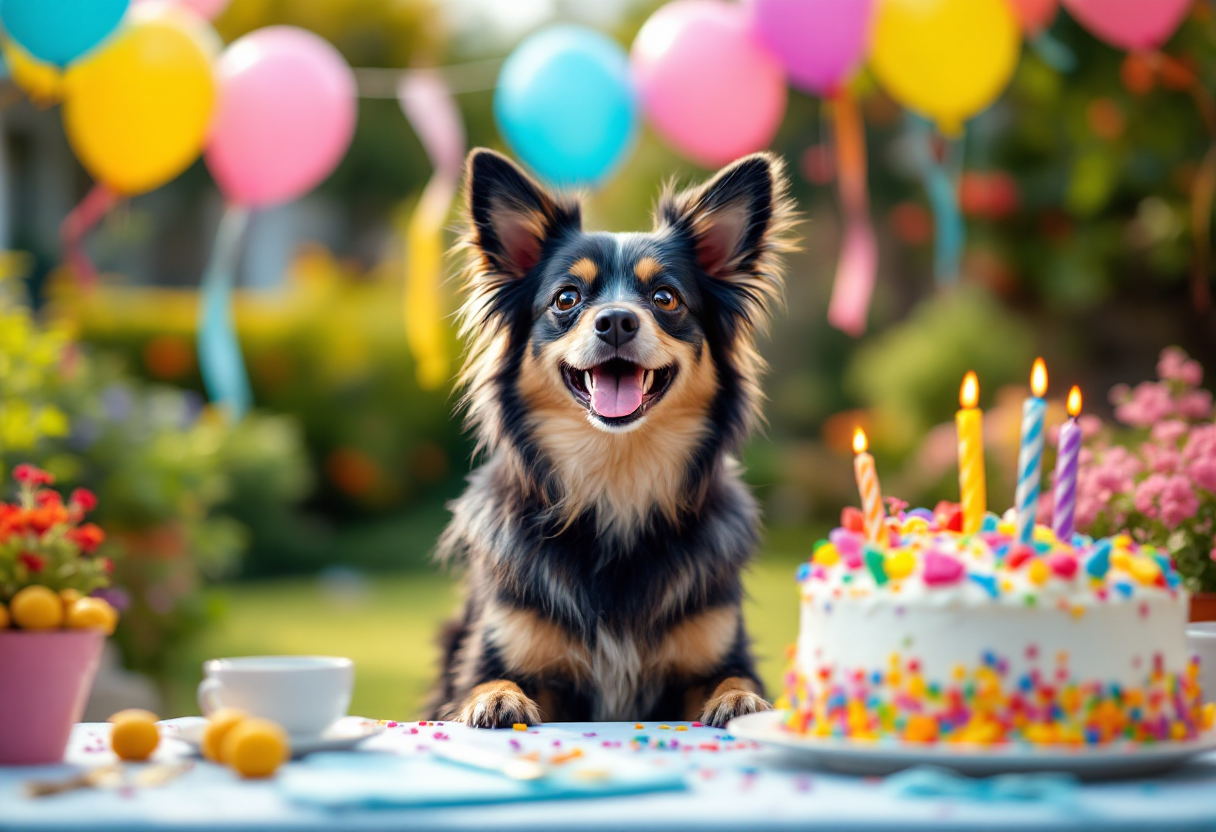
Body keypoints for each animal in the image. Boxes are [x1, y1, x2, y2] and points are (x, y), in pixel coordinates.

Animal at [430, 149, 797, 729]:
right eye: (566, 298)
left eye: (666, 297)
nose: (618, 321)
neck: (615, 478)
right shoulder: (499, 655)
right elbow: (490, 680)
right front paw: (496, 698)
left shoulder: (715, 650)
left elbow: (733, 677)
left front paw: (740, 699)